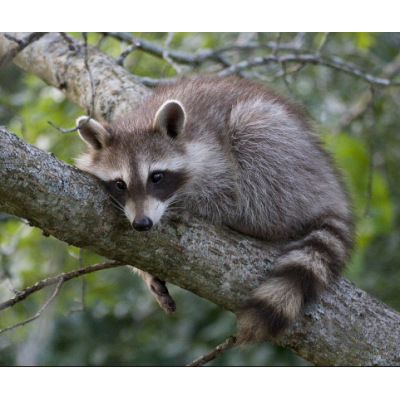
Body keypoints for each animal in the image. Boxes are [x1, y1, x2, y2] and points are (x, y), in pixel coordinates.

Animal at [75, 76, 354, 340]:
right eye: (120, 184)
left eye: (156, 177)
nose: (142, 224)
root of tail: (330, 187)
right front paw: (144, 271)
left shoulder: (214, 155)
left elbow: (226, 195)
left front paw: (190, 205)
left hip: (291, 158)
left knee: (256, 145)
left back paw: (255, 223)